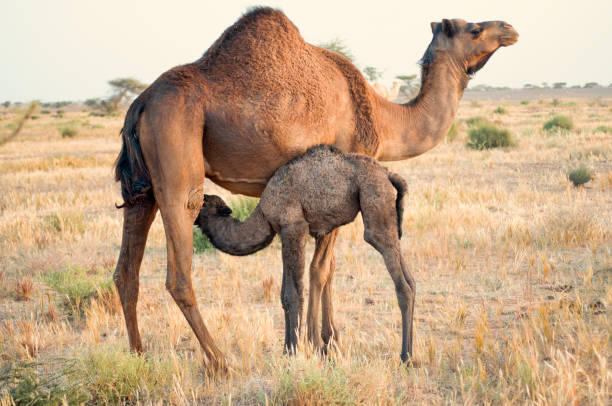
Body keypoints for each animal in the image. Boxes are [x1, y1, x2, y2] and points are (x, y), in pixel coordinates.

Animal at [196, 144, 416, 364]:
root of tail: (388, 174)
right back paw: (410, 352)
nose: (192, 205)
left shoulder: (294, 227)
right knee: (411, 280)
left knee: (400, 280)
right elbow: (284, 294)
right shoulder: (285, 232)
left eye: (204, 203)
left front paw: (293, 351)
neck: (264, 213)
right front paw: (288, 350)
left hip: (375, 201)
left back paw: (405, 356)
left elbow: (293, 293)